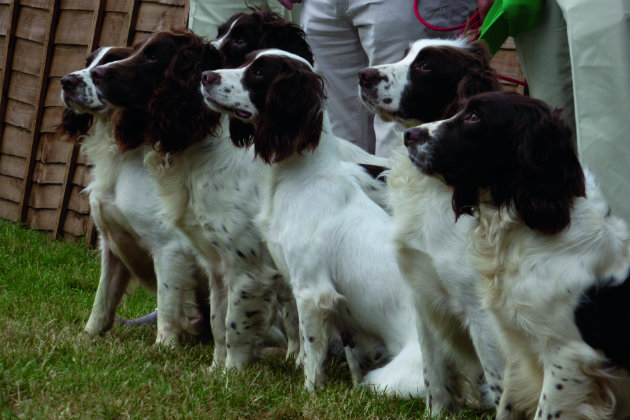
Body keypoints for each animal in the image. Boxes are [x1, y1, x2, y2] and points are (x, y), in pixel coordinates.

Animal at [57, 45, 210, 344]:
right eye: (88, 61)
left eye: (111, 62)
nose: (66, 81)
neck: (121, 158)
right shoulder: (111, 242)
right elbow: (103, 299)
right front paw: (88, 336)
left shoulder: (169, 247)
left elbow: (168, 304)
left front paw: (165, 346)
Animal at [201, 49, 430, 398]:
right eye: (244, 61)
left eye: (258, 72)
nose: (205, 76)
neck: (302, 178)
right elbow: (352, 356)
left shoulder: (311, 290)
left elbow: (311, 352)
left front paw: (310, 391)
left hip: (387, 380)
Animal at [360, 37, 504, 412]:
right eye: (405, 54)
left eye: (425, 66)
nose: (363, 74)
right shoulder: (423, 298)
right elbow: (435, 380)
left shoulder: (481, 313)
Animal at [404, 90, 630, 418]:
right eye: (458, 109)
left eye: (474, 116)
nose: (408, 135)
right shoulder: (515, 347)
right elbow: (507, 402)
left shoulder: (568, 355)